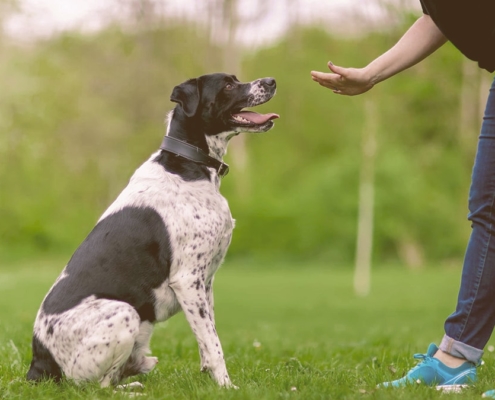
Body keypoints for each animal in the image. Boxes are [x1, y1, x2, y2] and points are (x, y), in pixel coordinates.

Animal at [26, 72, 280, 388]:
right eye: (228, 85)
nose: (271, 80)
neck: (188, 164)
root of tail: (37, 364)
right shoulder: (187, 279)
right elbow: (214, 343)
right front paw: (226, 386)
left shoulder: (205, 283)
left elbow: (207, 339)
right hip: (124, 313)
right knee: (99, 386)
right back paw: (132, 388)